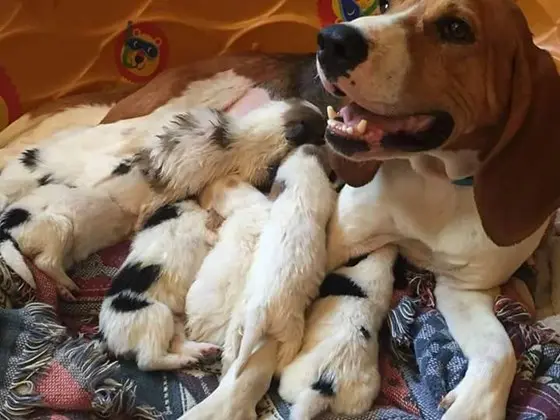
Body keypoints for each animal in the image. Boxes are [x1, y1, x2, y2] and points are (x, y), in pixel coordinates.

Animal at [97, 199, 220, 370]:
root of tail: (104, 336)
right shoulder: (197, 226)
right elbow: (209, 232)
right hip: (158, 316)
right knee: (148, 361)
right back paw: (184, 360)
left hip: (175, 321)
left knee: (177, 345)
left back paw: (204, 351)